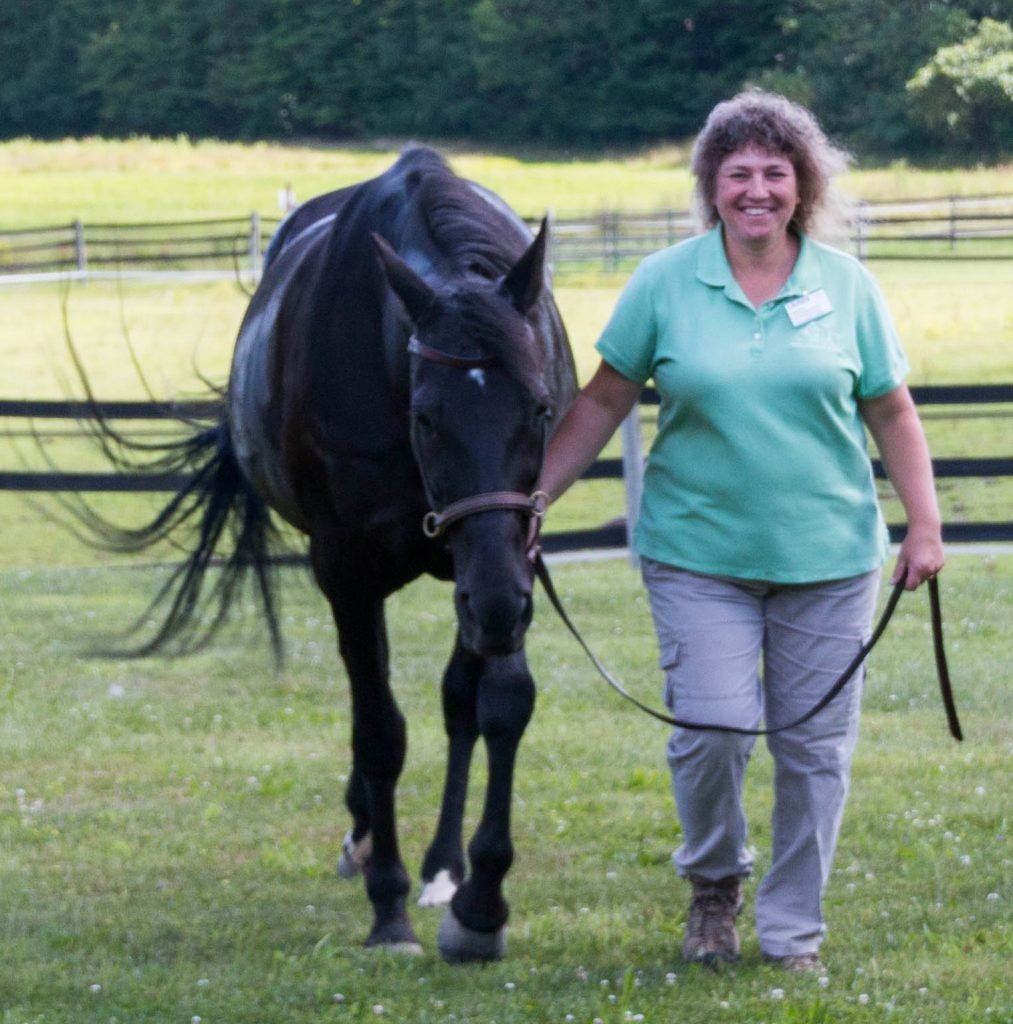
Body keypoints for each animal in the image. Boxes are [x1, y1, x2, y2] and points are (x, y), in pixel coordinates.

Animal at [81, 146, 577, 958]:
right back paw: (367, 840)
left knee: (454, 704)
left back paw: (440, 865)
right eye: (425, 416)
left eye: (538, 408)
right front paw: (390, 909)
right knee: (368, 702)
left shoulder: (506, 559)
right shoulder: (350, 570)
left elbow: (496, 706)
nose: (498, 607)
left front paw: (478, 898)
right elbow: (378, 732)